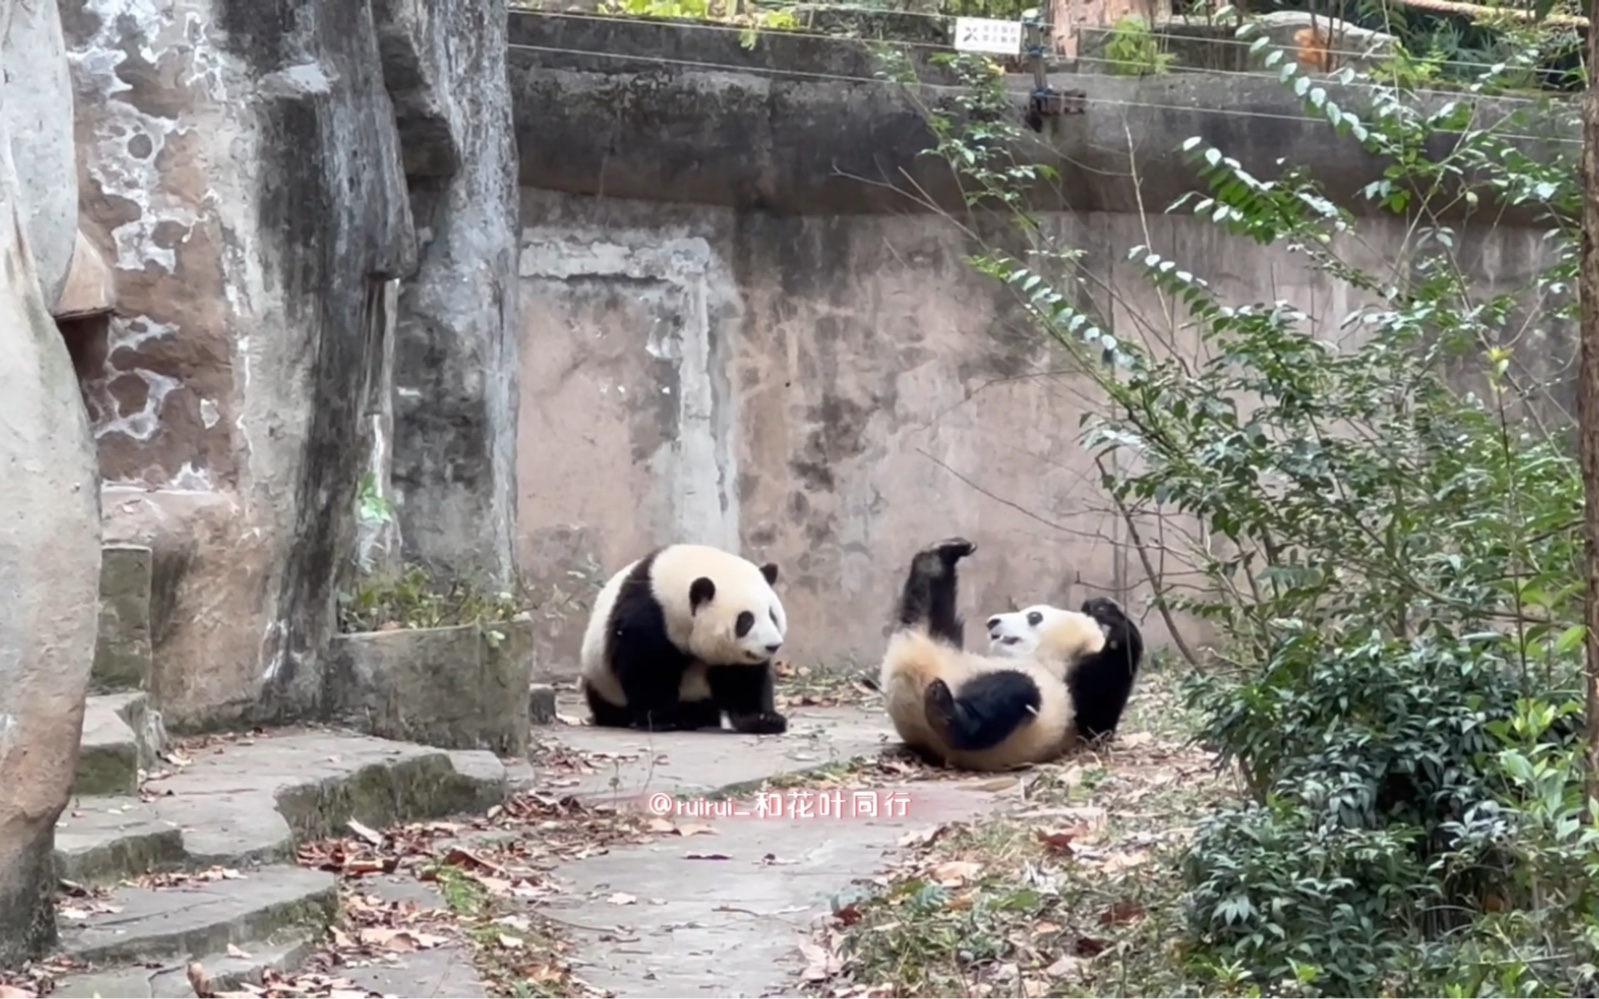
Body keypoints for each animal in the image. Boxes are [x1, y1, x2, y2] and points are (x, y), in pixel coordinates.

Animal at [582, 540, 793, 735]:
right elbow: (648, 667)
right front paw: (661, 720)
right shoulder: (650, 615)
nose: (773, 646)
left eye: (772, 615)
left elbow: (742, 679)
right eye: (746, 620)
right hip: (601, 677)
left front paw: (765, 719)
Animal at [876, 537, 1112, 770]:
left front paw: (1111, 622)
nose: (992, 621)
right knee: (928, 606)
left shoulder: (1071, 693)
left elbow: (1097, 716)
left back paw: (944, 713)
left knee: (1012, 691)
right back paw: (938, 554)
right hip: (938, 640)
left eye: (1034, 616)